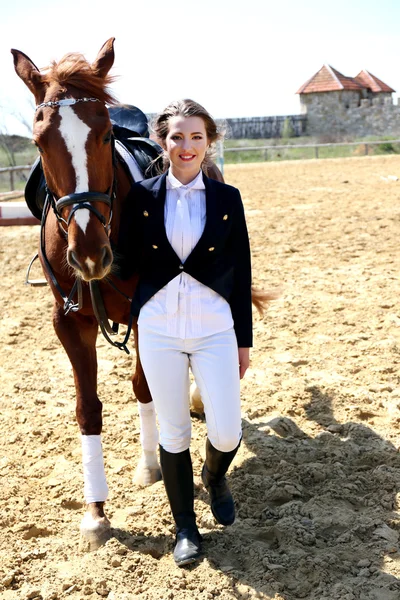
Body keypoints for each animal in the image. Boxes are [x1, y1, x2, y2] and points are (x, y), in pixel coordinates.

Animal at [11, 38, 272, 552]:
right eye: (39, 141)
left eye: (104, 134)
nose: (90, 253)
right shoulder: (67, 321)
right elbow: (87, 409)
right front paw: (95, 514)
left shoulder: (142, 313)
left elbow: (145, 387)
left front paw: (151, 465)